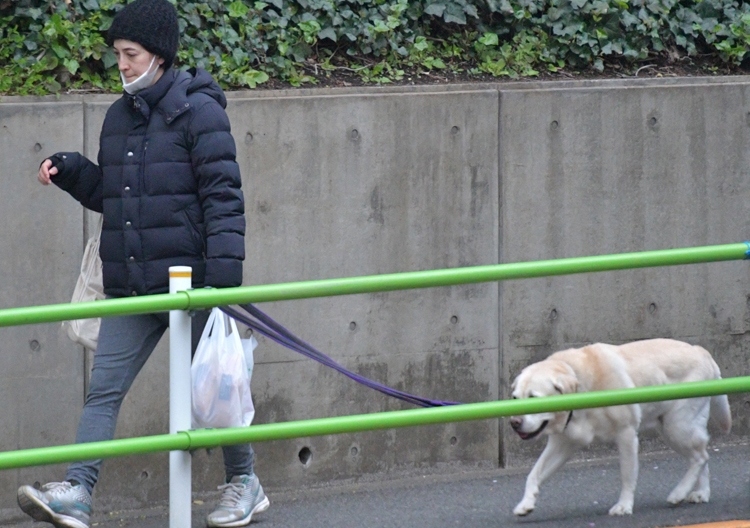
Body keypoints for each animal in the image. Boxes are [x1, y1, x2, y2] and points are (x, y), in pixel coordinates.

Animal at [512, 338, 736, 516]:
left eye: (533, 398)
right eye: (514, 398)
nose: (514, 423)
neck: (582, 386)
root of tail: (702, 351)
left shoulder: (626, 433)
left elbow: (627, 474)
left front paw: (624, 506)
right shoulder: (563, 443)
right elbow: (534, 474)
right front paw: (526, 503)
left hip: (677, 426)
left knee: (700, 457)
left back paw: (678, 493)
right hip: (673, 428)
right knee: (702, 453)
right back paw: (701, 493)